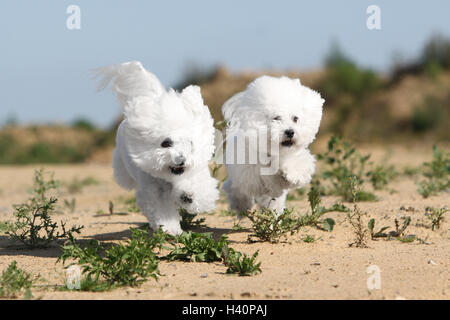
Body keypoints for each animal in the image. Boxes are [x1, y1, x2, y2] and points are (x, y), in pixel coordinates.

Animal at [96, 61, 219, 234]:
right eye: (166, 143)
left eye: (190, 143)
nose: (181, 159)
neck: (169, 178)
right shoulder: (154, 192)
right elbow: (162, 211)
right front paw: (169, 229)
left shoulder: (196, 174)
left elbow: (197, 188)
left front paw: (189, 195)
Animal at [221, 75, 324, 215]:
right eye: (276, 118)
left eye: (295, 118)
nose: (290, 132)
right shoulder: (253, 173)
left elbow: (295, 166)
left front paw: (294, 174)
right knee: (236, 190)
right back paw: (240, 207)